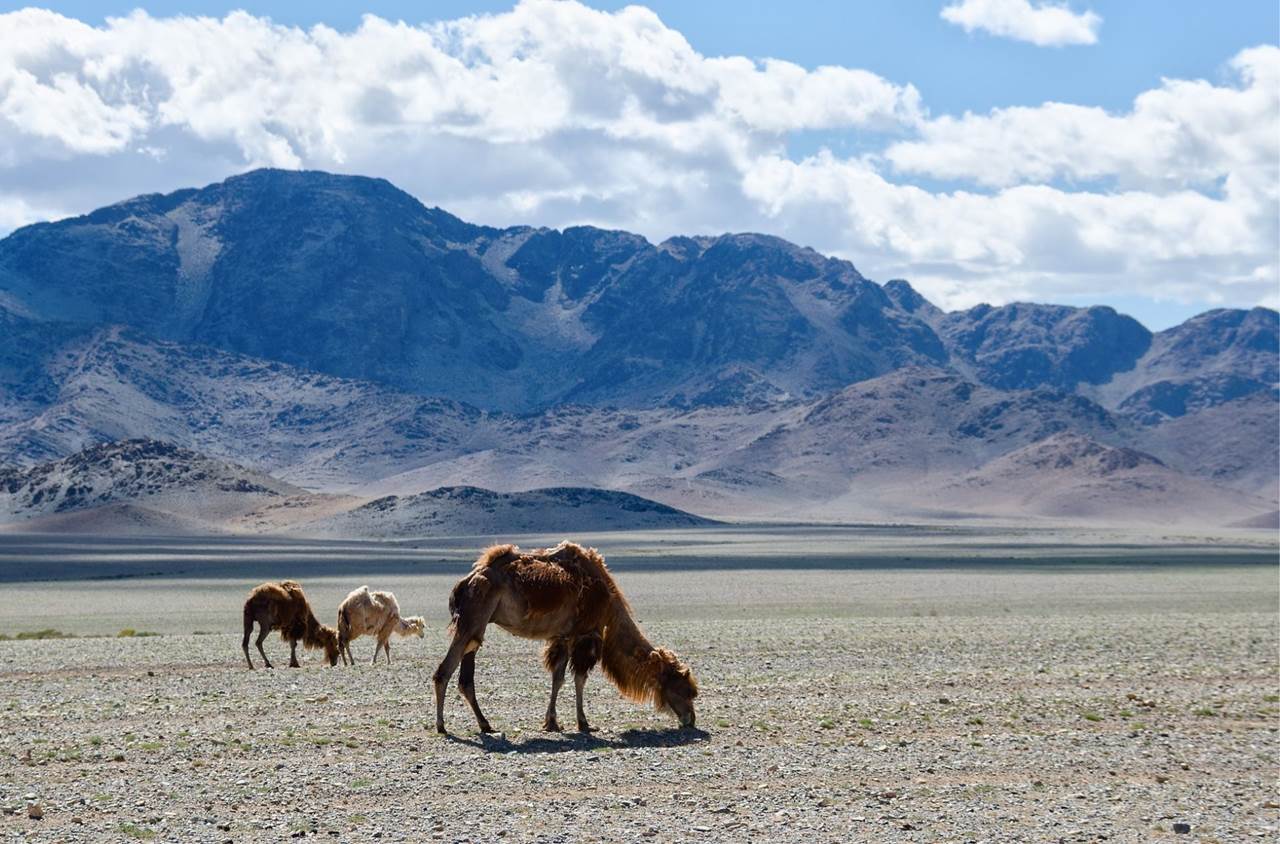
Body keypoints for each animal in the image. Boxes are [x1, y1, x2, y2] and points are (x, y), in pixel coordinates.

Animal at [432, 545, 701, 737]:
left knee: (465, 677)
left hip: (476, 624)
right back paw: (443, 726)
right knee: (444, 671)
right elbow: (578, 679)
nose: (691, 719)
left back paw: (485, 725)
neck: (609, 602)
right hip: (473, 619)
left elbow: (558, 678)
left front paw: (552, 722)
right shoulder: (584, 635)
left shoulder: (561, 636)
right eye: (684, 689)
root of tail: (465, 583)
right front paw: (584, 723)